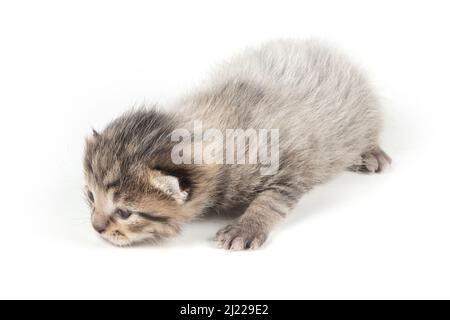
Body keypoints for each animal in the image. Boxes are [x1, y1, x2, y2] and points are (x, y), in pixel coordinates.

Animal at [83, 38, 390, 250]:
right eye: (90, 196)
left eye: (124, 212)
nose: (95, 227)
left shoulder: (289, 171)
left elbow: (270, 201)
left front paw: (245, 228)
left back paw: (371, 153)